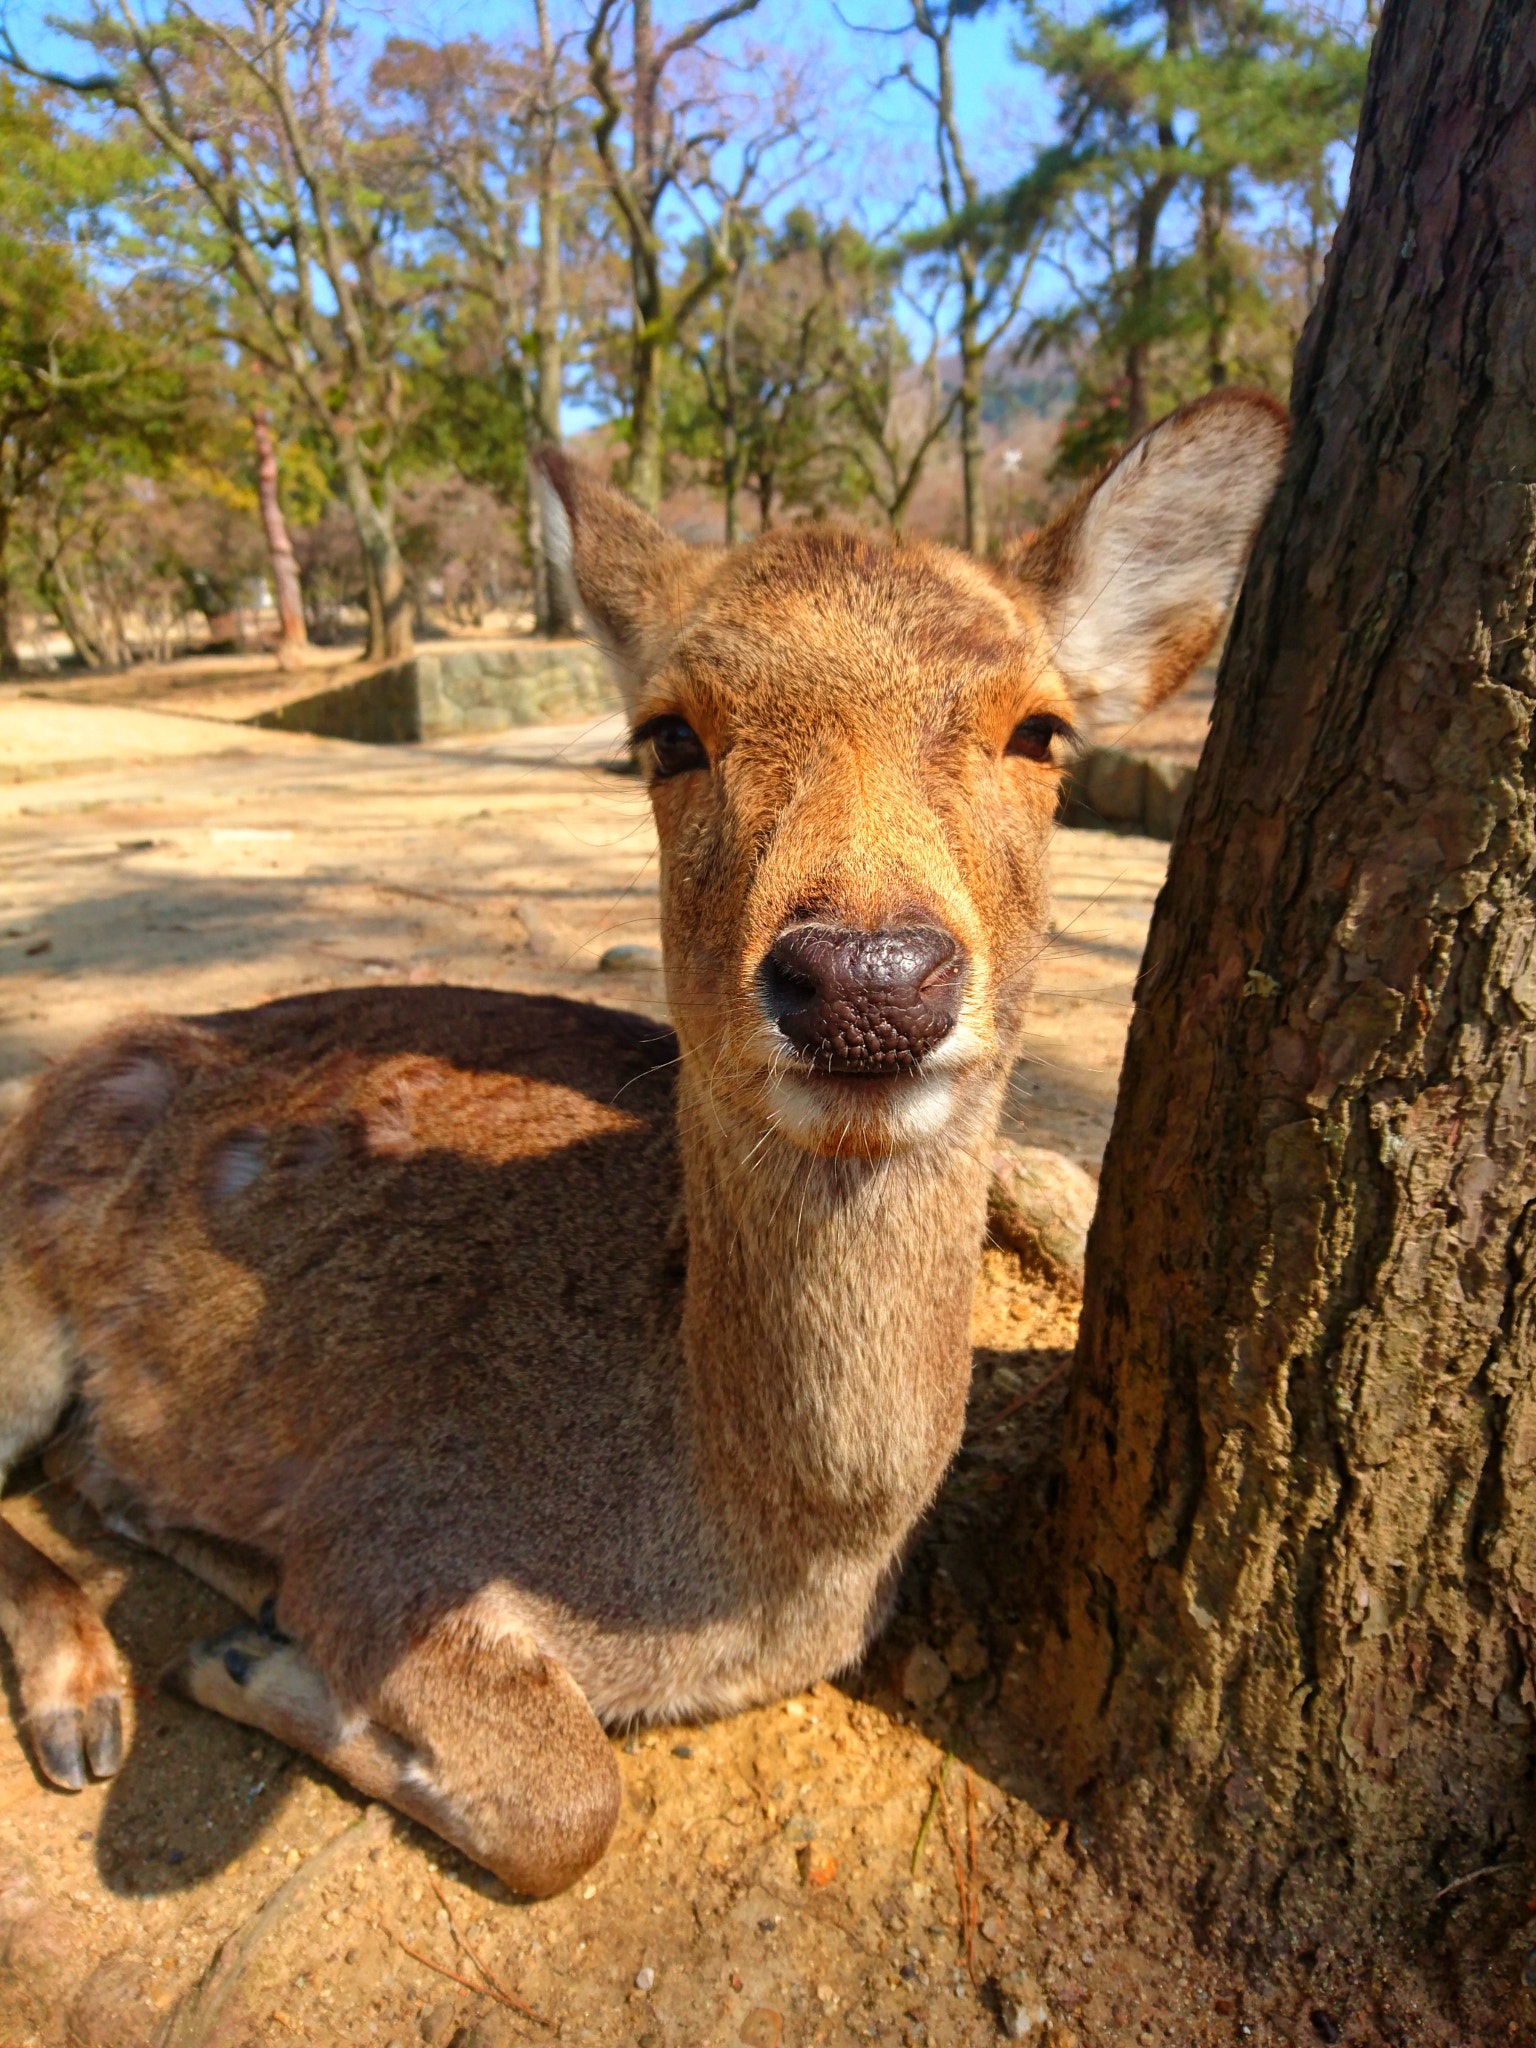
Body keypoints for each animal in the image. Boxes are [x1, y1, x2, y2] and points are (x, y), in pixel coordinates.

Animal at [0, 391, 1286, 1898]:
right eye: (667, 733)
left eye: (1042, 730)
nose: (867, 978)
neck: (757, 1560)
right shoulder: (385, 1530)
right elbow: (569, 1802)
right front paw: (243, 1657)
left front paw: (239, 1628)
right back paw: (89, 1698)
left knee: (69, 1466)